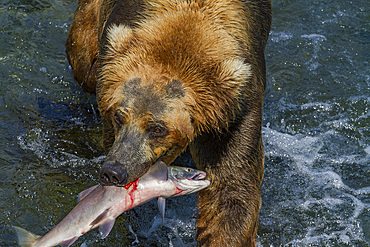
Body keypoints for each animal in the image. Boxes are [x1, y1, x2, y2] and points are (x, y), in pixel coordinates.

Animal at [65, 0, 270, 245]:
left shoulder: (234, 114)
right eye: (118, 116)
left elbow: (231, 187)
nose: (113, 171)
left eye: (157, 128)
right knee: (83, 58)